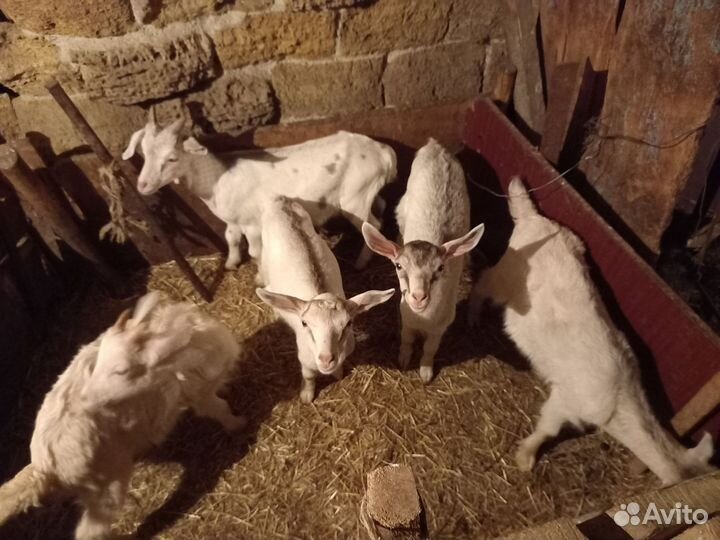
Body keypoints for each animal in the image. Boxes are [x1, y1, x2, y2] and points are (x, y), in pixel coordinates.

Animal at [0, 292, 244, 540]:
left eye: (121, 370)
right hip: (108, 483)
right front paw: (238, 425)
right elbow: (220, 409)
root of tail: (43, 467)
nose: (86, 398)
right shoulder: (200, 393)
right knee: (90, 532)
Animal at [122, 111, 397, 269]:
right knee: (382, 206)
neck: (217, 178)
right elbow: (230, 238)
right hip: (368, 191)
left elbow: (255, 250)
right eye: (143, 152)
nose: (142, 185)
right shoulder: (233, 219)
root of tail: (383, 152)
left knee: (373, 224)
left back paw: (361, 262)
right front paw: (231, 263)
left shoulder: (252, 222)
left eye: (172, 158)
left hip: (354, 199)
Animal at [255, 196, 395, 403]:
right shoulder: (305, 360)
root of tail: (281, 200)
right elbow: (308, 376)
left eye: (348, 324)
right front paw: (306, 396)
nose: (326, 359)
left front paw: (337, 373)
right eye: (304, 323)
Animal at [362, 139, 484, 383]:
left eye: (440, 267)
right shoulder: (406, 318)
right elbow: (406, 340)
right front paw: (403, 359)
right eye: (398, 265)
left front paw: (426, 372)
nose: (419, 297)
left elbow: (430, 349)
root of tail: (436, 146)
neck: (423, 319)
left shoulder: (441, 326)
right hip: (404, 204)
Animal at [468, 177, 716, 486]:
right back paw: (473, 314)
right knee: (484, 281)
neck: (618, 402)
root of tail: (532, 218)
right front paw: (526, 457)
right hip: (506, 276)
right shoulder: (566, 400)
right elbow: (547, 429)